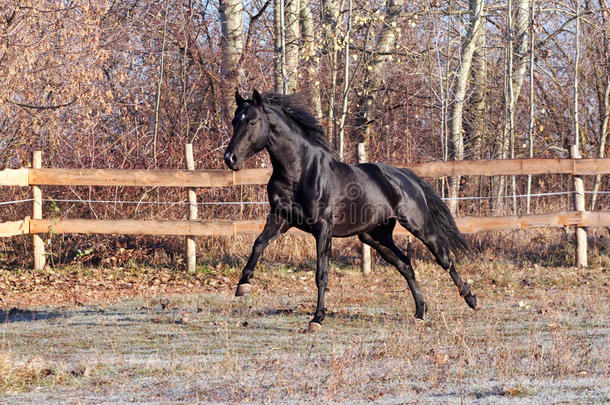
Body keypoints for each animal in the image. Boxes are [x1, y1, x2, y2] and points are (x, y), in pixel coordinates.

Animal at [223, 90, 476, 330]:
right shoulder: (280, 218)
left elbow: (321, 274)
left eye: (252, 121)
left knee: (444, 258)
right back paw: (420, 312)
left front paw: (317, 319)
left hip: (420, 226)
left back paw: (471, 299)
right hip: (376, 236)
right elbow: (258, 243)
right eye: (235, 121)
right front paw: (243, 285)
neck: (300, 171)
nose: (230, 158)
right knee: (406, 265)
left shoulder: (323, 228)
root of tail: (406, 175)